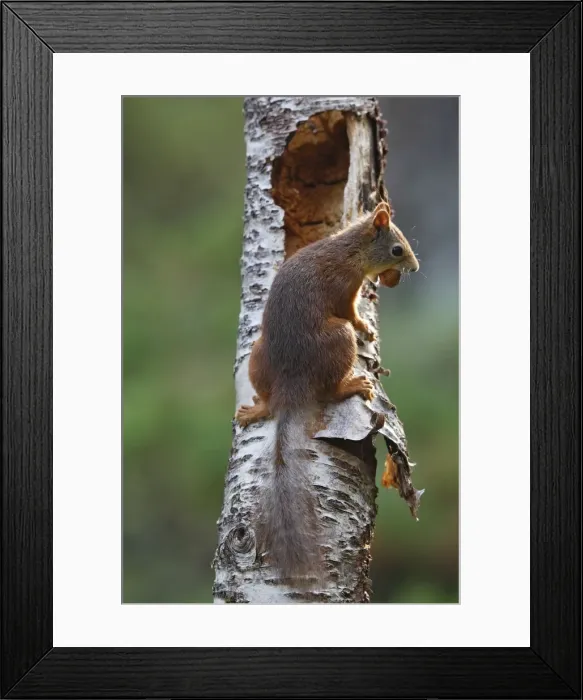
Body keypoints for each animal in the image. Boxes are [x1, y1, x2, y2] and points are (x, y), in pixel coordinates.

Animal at [235, 200, 419, 583]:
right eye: (397, 249)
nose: (414, 267)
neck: (348, 249)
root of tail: (292, 384)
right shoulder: (345, 289)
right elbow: (351, 312)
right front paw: (366, 326)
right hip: (338, 338)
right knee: (330, 388)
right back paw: (352, 384)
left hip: (257, 355)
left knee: (270, 400)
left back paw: (257, 409)